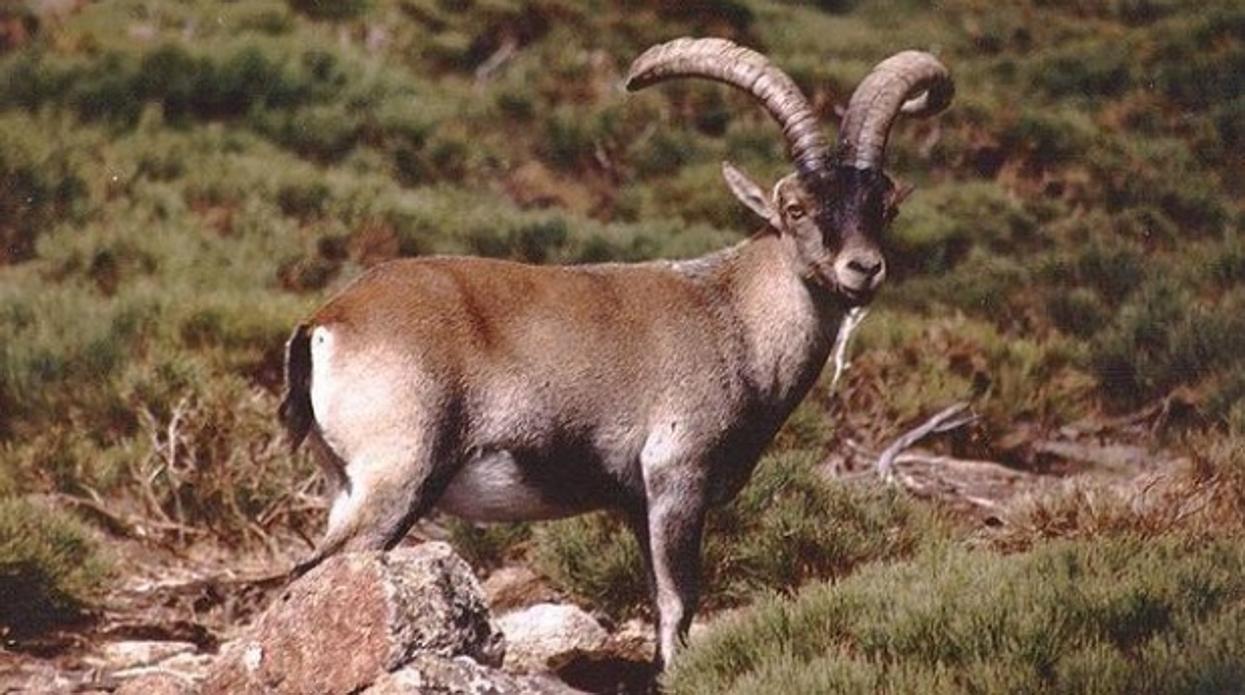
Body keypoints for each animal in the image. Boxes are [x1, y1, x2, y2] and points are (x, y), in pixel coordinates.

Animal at [277, 36, 946, 672]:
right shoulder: (676, 478)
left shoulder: (635, 502)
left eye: (884, 207)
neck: (732, 316)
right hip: (396, 481)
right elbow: (678, 605)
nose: (862, 268)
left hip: (346, 484)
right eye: (796, 208)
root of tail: (327, 323)